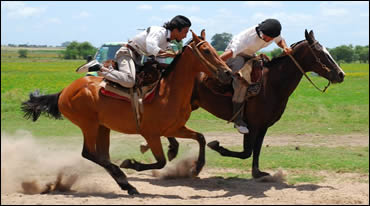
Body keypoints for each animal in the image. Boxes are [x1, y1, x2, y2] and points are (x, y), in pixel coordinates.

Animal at [20, 29, 231, 196]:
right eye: (206, 50)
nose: (228, 73)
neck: (167, 92)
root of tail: (65, 91)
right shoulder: (151, 134)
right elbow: (161, 161)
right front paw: (131, 163)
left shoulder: (175, 128)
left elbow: (200, 137)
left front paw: (197, 167)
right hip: (88, 125)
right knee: (88, 153)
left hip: (102, 127)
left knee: (102, 156)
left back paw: (126, 184)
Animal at [155, 29, 344, 179]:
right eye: (320, 52)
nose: (341, 74)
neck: (271, 83)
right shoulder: (252, 125)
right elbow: (246, 152)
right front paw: (217, 146)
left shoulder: (263, 126)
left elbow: (256, 150)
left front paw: (257, 172)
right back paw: (173, 149)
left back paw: (172, 148)